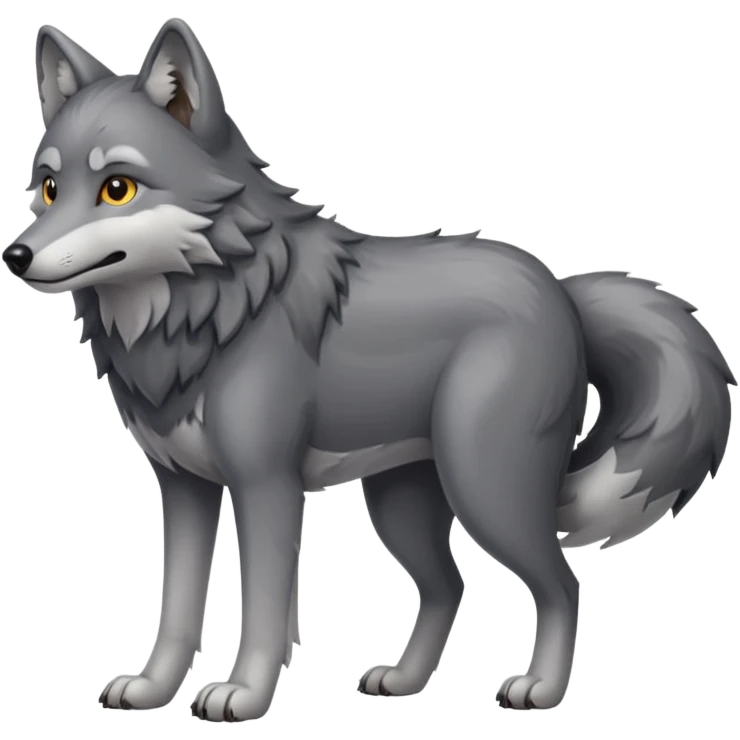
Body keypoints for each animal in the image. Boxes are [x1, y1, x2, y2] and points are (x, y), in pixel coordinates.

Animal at [4, 18, 735, 721]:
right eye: (49, 188)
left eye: (116, 189)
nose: (16, 255)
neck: (211, 314)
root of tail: (562, 291)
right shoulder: (184, 489)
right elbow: (177, 611)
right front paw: (154, 690)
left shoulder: (266, 486)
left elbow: (264, 610)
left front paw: (243, 696)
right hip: (399, 507)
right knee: (450, 586)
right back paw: (404, 681)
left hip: (485, 492)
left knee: (562, 585)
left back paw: (541, 689)